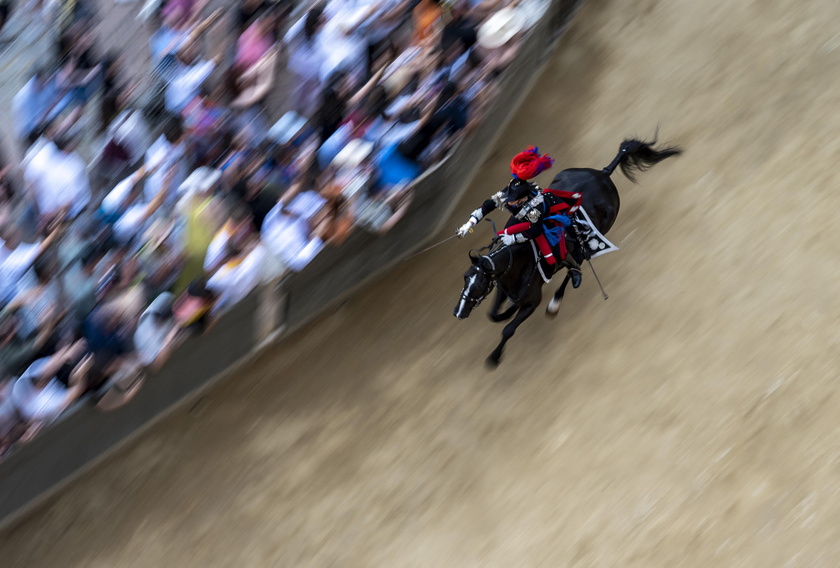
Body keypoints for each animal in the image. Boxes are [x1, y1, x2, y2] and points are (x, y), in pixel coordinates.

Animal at [452, 138, 684, 368]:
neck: (519, 261)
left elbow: (508, 329)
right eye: (465, 278)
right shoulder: (502, 286)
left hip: (601, 230)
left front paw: (494, 357)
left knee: (576, 264)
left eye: (479, 284)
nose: (458, 312)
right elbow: (494, 315)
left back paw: (557, 301)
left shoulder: (532, 301)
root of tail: (604, 173)